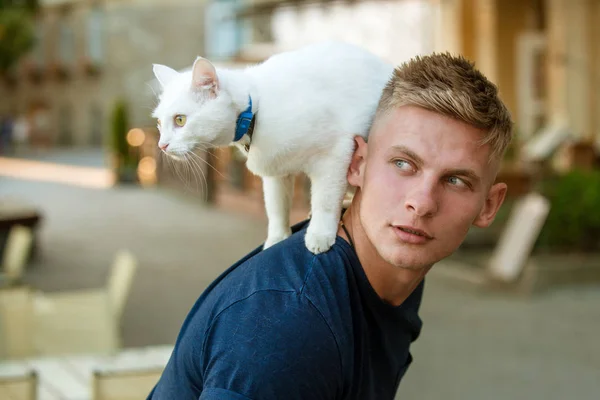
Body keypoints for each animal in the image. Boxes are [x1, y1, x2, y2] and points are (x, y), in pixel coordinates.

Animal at [151, 40, 394, 253]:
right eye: (159, 123)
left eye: (180, 120)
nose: (162, 145)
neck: (255, 110)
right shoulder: (276, 172)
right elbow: (276, 207)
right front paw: (276, 239)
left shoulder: (334, 155)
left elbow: (324, 200)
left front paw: (320, 233)